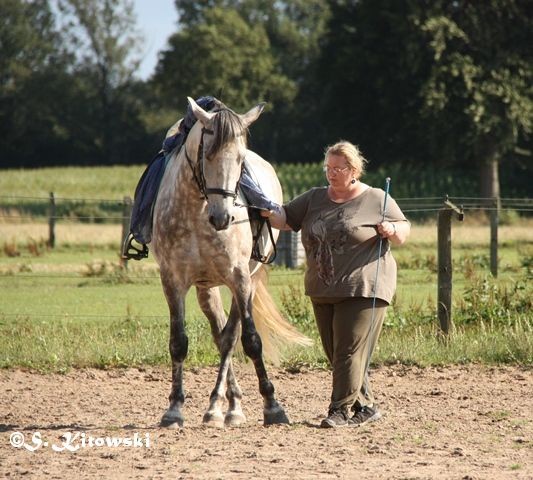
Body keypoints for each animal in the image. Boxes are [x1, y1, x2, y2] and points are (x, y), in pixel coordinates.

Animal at [150, 97, 310, 428]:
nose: (222, 217)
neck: (198, 212)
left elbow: (250, 340)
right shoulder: (172, 281)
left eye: (240, 160)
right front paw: (174, 409)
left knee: (230, 337)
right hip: (206, 288)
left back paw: (225, 407)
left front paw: (273, 407)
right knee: (220, 334)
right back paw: (222, 405)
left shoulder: (239, 278)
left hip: (246, 280)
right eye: (207, 155)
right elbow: (178, 342)